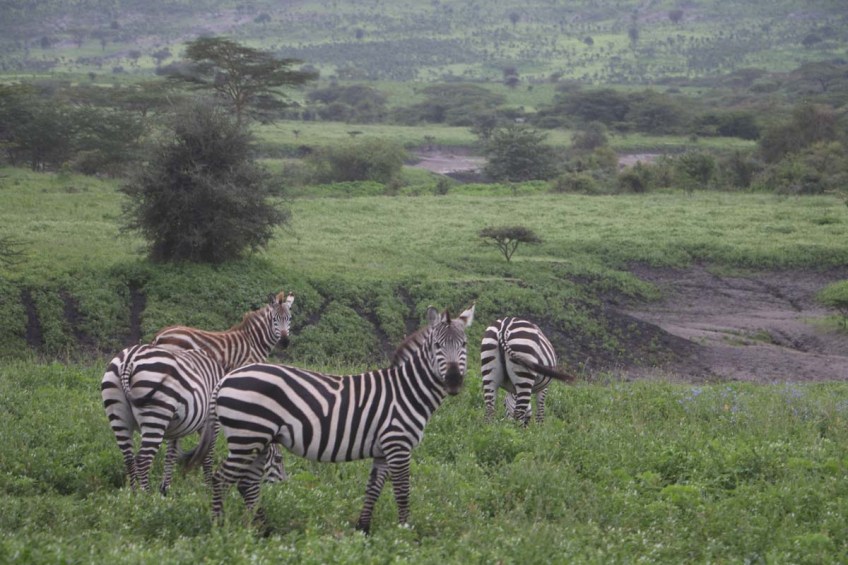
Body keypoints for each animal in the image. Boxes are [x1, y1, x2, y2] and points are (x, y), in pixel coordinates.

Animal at [188, 304, 475, 533]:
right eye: (437, 346)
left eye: (464, 345)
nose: (454, 381)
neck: (406, 391)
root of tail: (224, 379)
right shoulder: (398, 444)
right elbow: (402, 492)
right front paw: (405, 533)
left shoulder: (383, 450)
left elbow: (373, 489)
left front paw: (363, 530)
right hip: (247, 437)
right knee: (221, 479)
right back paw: (219, 528)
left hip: (257, 440)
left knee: (247, 484)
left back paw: (262, 530)